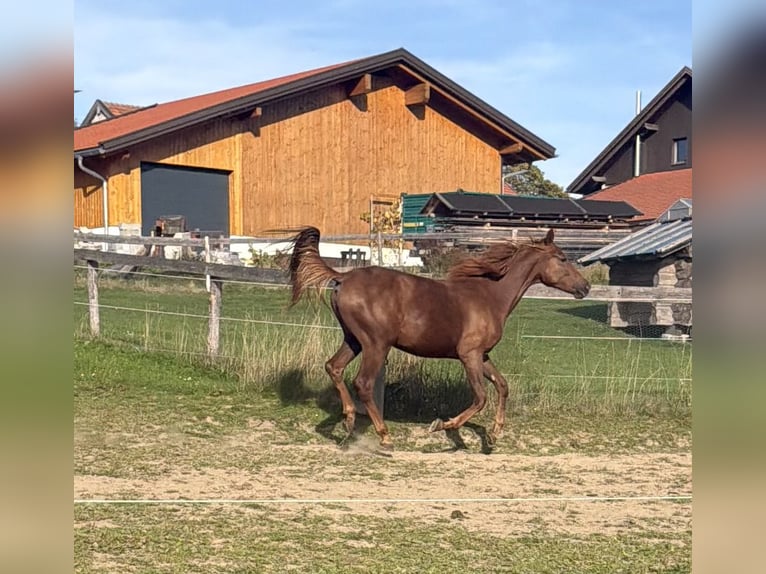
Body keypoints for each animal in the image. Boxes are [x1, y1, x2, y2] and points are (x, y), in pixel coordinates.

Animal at [288, 227, 590, 451]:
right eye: (562, 258)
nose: (585, 287)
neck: (491, 296)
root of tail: (343, 277)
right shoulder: (469, 355)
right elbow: (480, 397)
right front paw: (443, 426)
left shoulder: (482, 355)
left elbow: (503, 386)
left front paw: (494, 435)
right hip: (376, 344)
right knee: (362, 383)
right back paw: (384, 436)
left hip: (353, 340)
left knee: (334, 367)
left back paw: (349, 420)